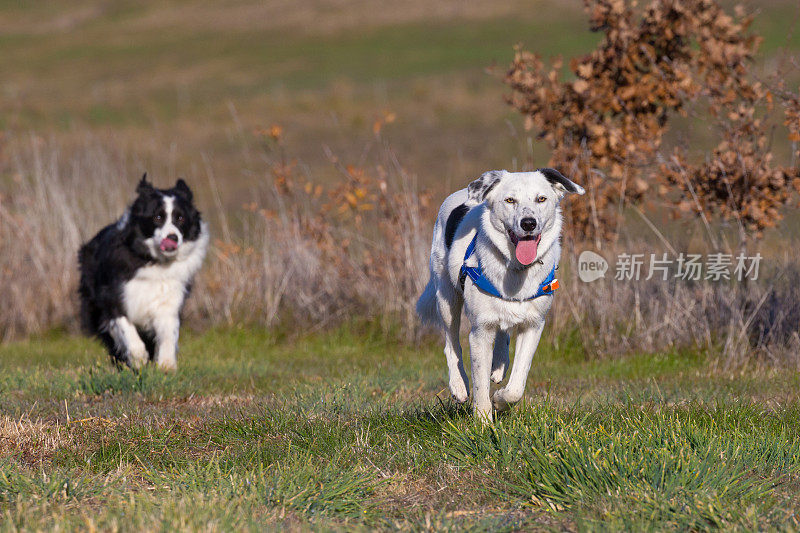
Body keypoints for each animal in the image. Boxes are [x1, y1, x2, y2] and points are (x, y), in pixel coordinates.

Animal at [77, 175, 208, 370]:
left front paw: (166, 365)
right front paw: (138, 359)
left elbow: (169, 333)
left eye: (180, 218)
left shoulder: (169, 298)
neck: (153, 261)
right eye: (158, 217)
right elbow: (125, 327)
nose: (173, 238)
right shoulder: (113, 296)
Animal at [416, 169, 584, 420]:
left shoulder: (534, 325)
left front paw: (500, 400)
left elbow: (517, 385)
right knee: (451, 342)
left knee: (503, 333)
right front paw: (483, 421)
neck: (516, 269)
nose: (528, 223)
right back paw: (459, 386)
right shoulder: (480, 331)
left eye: (541, 199)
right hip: (446, 296)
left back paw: (499, 365)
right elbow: (480, 384)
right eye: (510, 200)